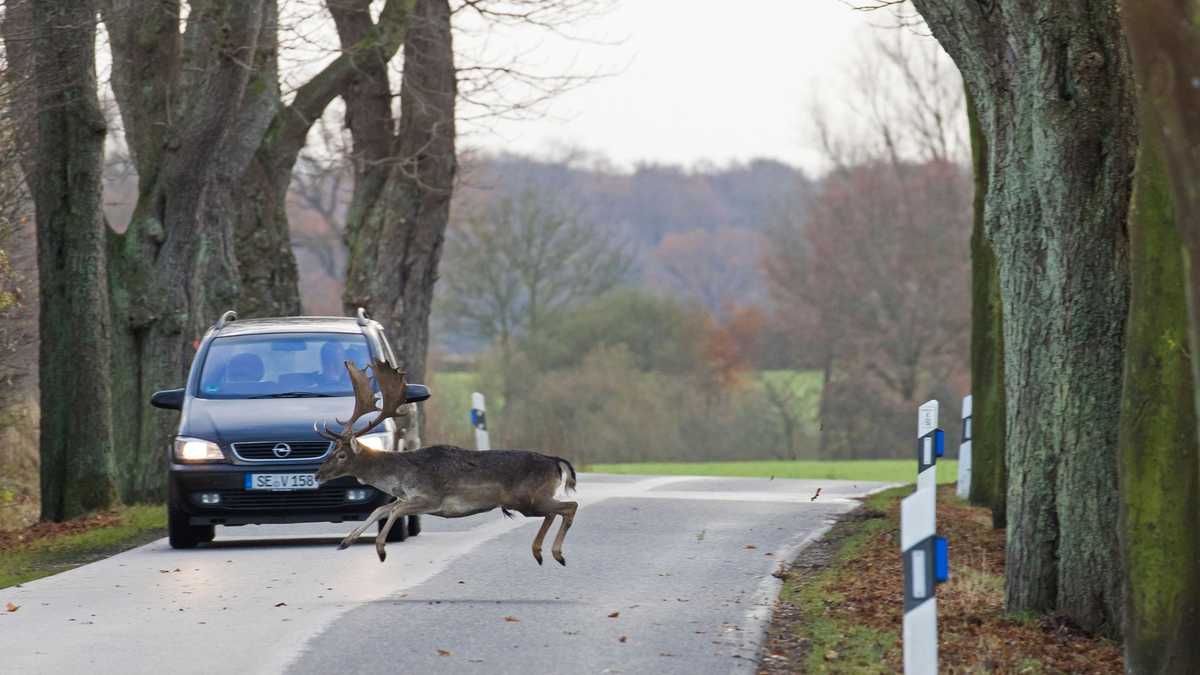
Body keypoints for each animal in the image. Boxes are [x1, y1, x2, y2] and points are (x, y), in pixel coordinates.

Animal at [313, 359, 578, 565]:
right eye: (333, 449)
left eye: (342, 455)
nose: (317, 474)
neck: (400, 475)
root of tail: (556, 462)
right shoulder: (408, 497)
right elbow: (381, 509)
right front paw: (346, 541)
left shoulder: (431, 498)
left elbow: (394, 510)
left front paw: (380, 549)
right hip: (531, 502)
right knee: (555, 512)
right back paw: (540, 552)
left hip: (528, 498)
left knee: (570, 506)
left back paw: (556, 554)